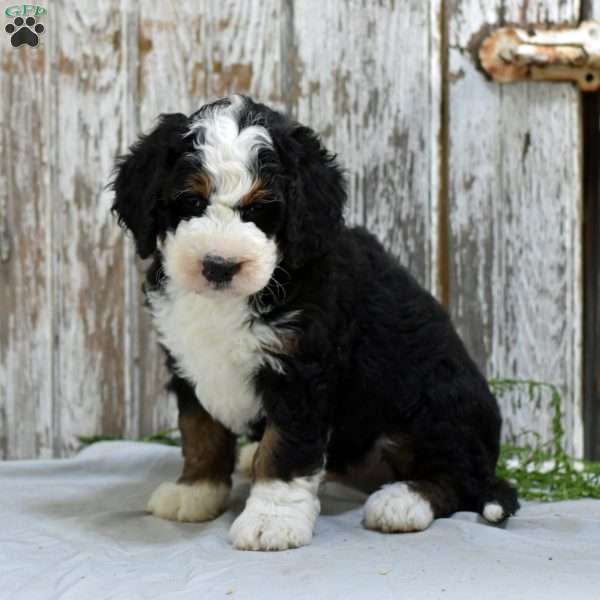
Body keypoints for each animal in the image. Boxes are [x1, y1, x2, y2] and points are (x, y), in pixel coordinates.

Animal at [112, 96, 520, 552]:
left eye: (260, 210)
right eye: (191, 202)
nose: (219, 265)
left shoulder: (300, 372)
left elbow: (284, 449)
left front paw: (271, 520)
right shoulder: (189, 362)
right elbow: (201, 433)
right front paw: (196, 491)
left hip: (438, 402)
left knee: (457, 478)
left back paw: (402, 502)